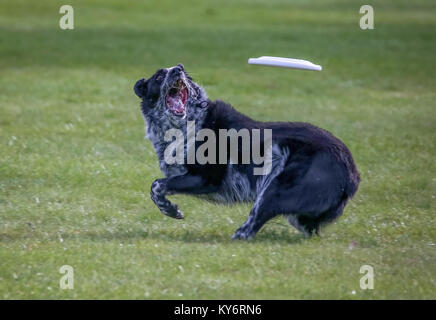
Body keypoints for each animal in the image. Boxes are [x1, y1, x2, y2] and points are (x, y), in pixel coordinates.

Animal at [135, 63, 360, 239]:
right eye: (159, 76)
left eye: (186, 76)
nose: (178, 69)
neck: (187, 125)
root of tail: (352, 172)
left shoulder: (206, 178)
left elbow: (156, 185)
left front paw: (170, 209)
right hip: (297, 211)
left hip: (274, 189)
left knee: (249, 228)